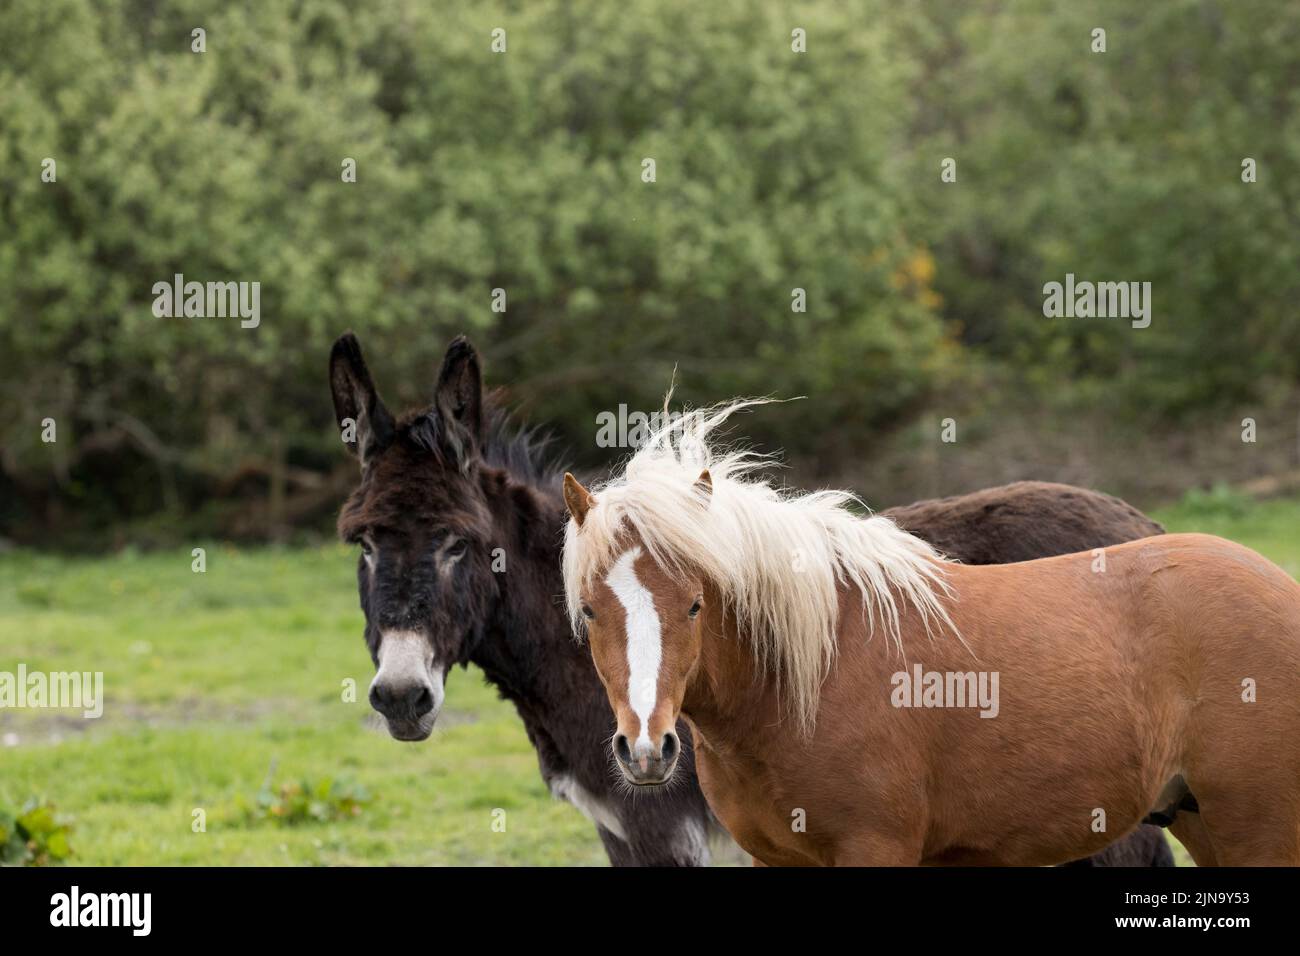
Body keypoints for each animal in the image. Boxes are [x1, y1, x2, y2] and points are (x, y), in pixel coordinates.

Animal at [330, 333, 1169, 866]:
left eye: (457, 543)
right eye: (361, 543)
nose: (401, 697)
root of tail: (1146, 526)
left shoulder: (664, 828)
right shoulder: (623, 830)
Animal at [561, 400, 1300, 866]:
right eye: (591, 610)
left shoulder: (874, 848)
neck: (806, 681)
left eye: (694, 606)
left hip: (1256, 831)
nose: (646, 749)